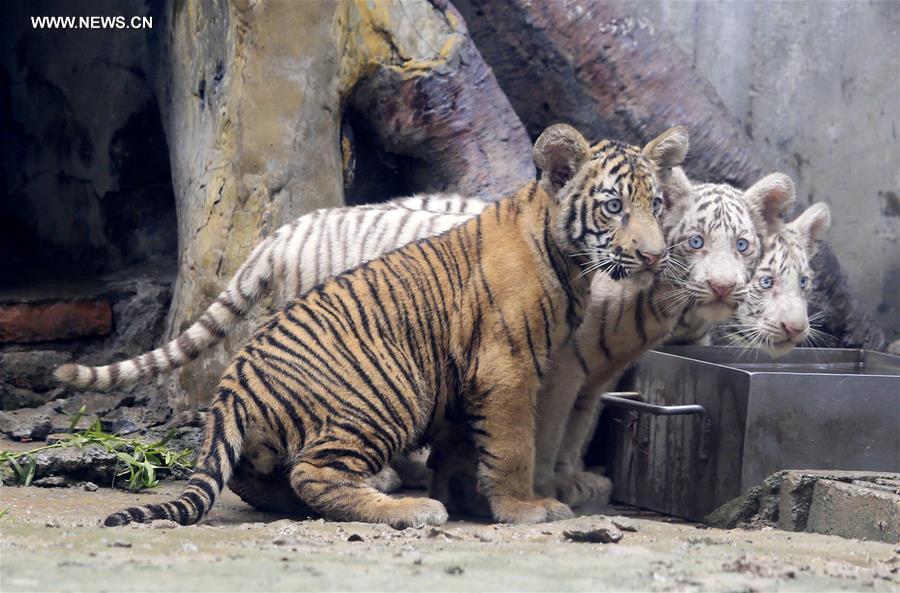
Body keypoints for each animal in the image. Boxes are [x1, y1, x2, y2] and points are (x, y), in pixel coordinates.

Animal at [101, 124, 690, 528]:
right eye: (613, 207)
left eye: (657, 205)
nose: (655, 255)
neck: (567, 260)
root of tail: (235, 379)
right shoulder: (506, 368)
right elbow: (513, 445)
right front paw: (523, 507)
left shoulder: (469, 375)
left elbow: (464, 448)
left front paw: (473, 498)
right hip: (393, 391)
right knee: (314, 473)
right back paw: (407, 508)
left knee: (264, 478)